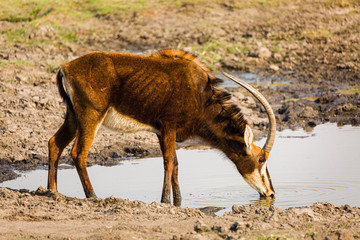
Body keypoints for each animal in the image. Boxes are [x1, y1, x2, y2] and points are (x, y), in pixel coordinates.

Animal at [48, 49, 276, 206]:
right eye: (261, 159)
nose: (271, 193)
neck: (200, 94)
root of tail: (65, 68)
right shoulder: (168, 126)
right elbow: (168, 162)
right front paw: (165, 201)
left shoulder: (161, 131)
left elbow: (175, 163)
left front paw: (178, 201)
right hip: (91, 116)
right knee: (79, 153)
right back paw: (93, 196)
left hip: (73, 117)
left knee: (54, 143)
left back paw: (52, 192)